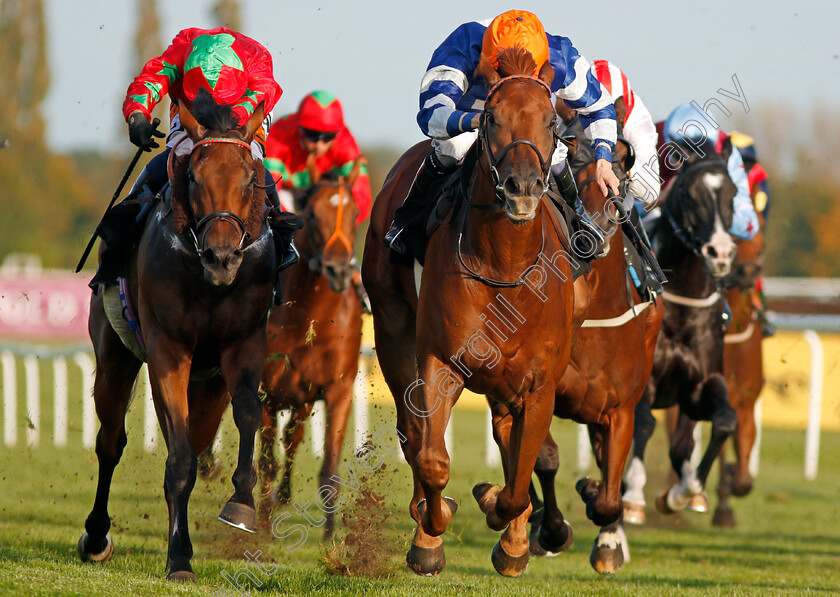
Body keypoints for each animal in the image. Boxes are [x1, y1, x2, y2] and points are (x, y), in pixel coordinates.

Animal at [77, 95, 278, 580]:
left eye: (250, 180)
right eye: (193, 177)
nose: (222, 258)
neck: (208, 282)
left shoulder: (243, 344)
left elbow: (248, 413)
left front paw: (241, 503)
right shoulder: (168, 350)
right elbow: (179, 460)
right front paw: (180, 556)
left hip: (208, 387)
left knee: (192, 438)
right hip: (114, 358)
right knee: (111, 443)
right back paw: (96, 536)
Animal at [256, 162, 360, 536]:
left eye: (355, 213)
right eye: (312, 214)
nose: (338, 269)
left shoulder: (339, 390)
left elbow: (329, 468)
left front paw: (331, 538)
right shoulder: (266, 393)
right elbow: (266, 463)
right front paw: (260, 524)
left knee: (294, 436)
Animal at [360, 46, 576, 576]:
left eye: (551, 121)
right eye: (491, 117)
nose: (522, 187)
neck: (505, 266)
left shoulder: (539, 385)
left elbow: (519, 479)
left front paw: (507, 527)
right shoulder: (439, 362)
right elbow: (432, 457)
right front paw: (429, 536)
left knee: (507, 438)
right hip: (392, 328)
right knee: (412, 432)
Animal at [620, 151, 740, 528]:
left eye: (732, 192)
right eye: (689, 193)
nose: (720, 253)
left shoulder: (699, 386)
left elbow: (724, 421)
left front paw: (684, 492)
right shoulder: (644, 380)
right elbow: (643, 424)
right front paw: (632, 497)